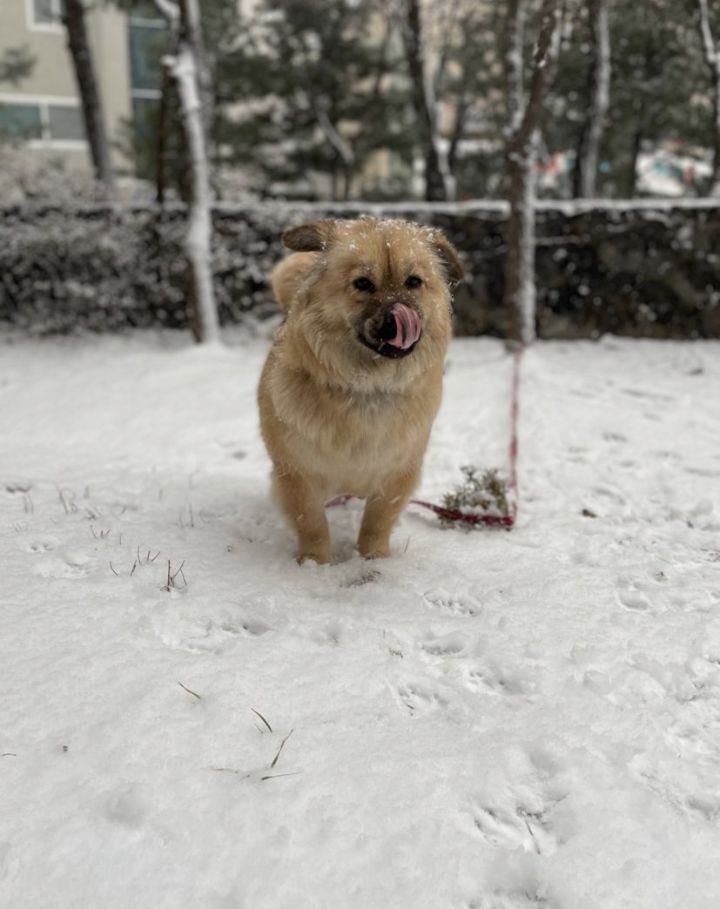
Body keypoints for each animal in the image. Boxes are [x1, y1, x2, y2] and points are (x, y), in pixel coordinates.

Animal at [258, 219, 462, 560]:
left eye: (414, 282)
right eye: (363, 283)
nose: (399, 313)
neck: (369, 386)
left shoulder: (397, 476)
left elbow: (377, 522)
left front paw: (372, 558)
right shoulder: (298, 475)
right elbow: (312, 524)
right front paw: (314, 562)